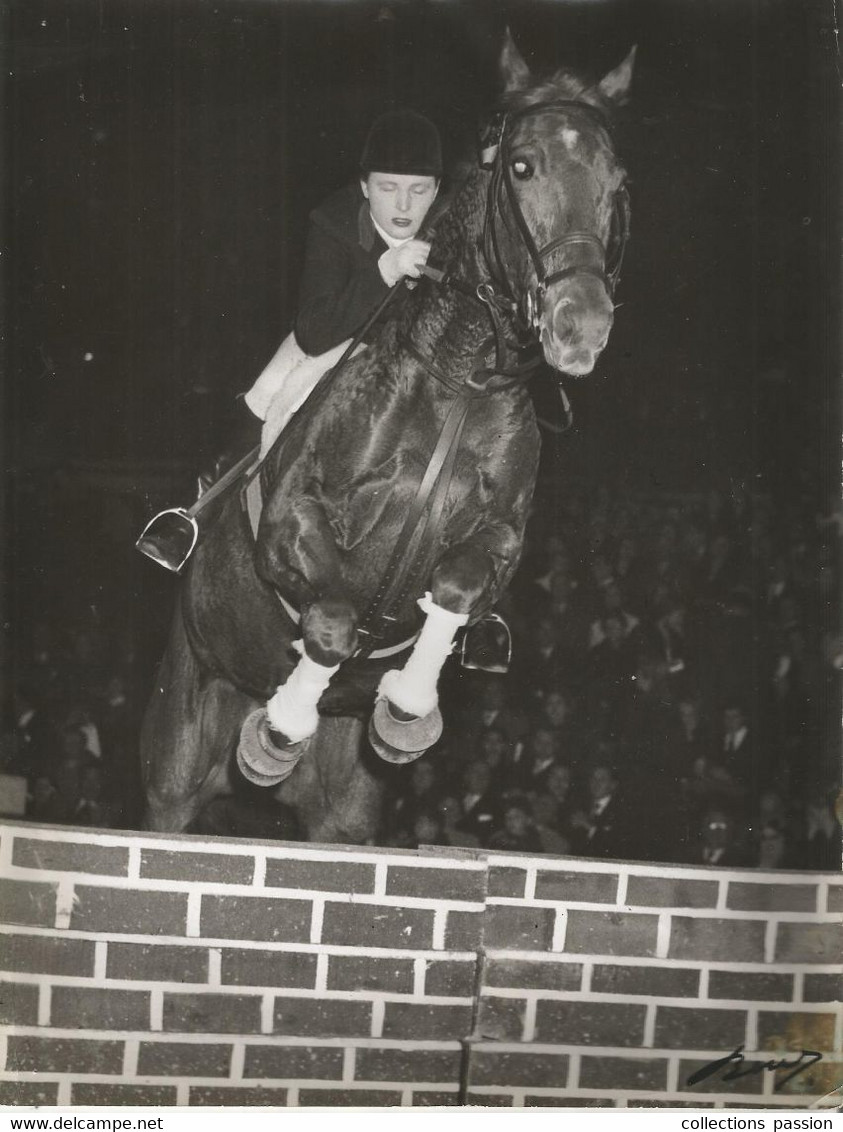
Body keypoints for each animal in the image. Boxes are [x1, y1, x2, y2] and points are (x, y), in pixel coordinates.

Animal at [141, 33, 633, 842]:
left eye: (616, 181)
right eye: (522, 167)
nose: (581, 328)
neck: (460, 373)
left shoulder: (497, 538)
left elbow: (455, 586)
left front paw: (405, 709)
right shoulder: (292, 524)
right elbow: (335, 620)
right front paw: (280, 728)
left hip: (343, 816)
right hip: (177, 759)